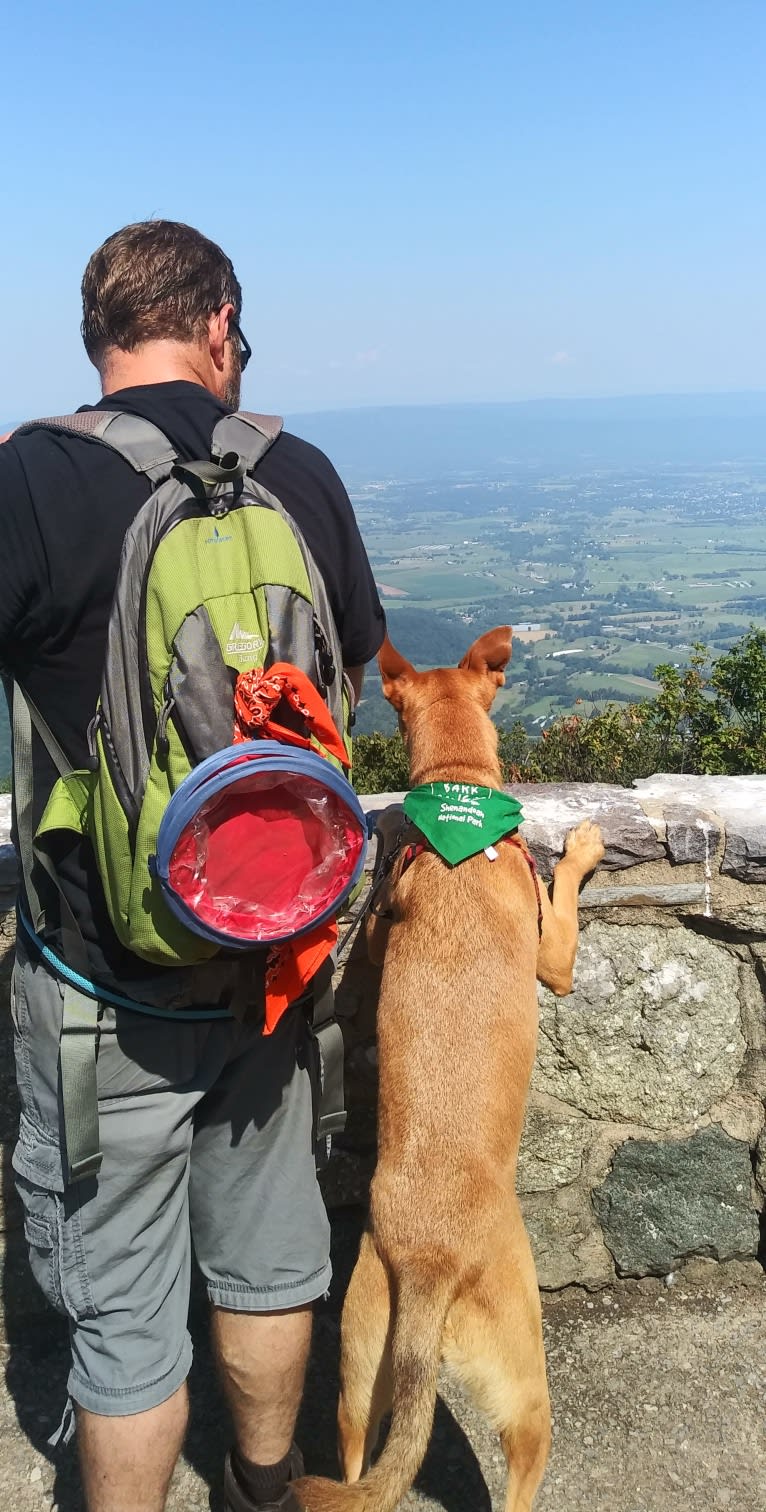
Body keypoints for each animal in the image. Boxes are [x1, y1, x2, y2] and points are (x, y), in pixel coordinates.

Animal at [297, 625, 604, 1512]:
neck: (459, 803)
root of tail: (432, 1261)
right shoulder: (553, 956)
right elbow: (563, 904)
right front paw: (581, 850)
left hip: (359, 1358)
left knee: (358, 1460)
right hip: (524, 1371)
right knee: (523, 1469)